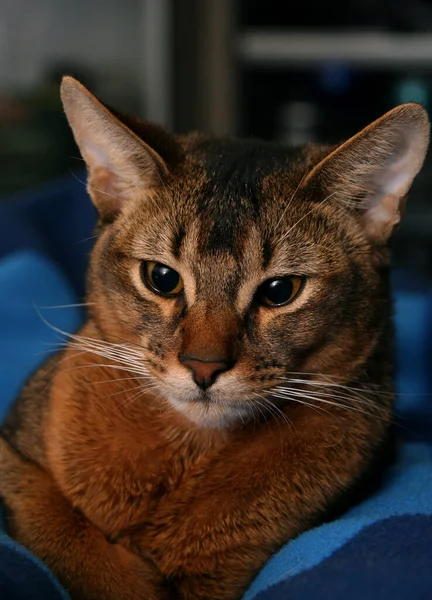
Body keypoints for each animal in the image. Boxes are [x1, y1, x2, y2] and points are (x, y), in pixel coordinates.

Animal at [0, 76, 430, 600]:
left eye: (280, 291)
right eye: (162, 278)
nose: (203, 367)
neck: (188, 452)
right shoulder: (14, 457)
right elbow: (61, 531)